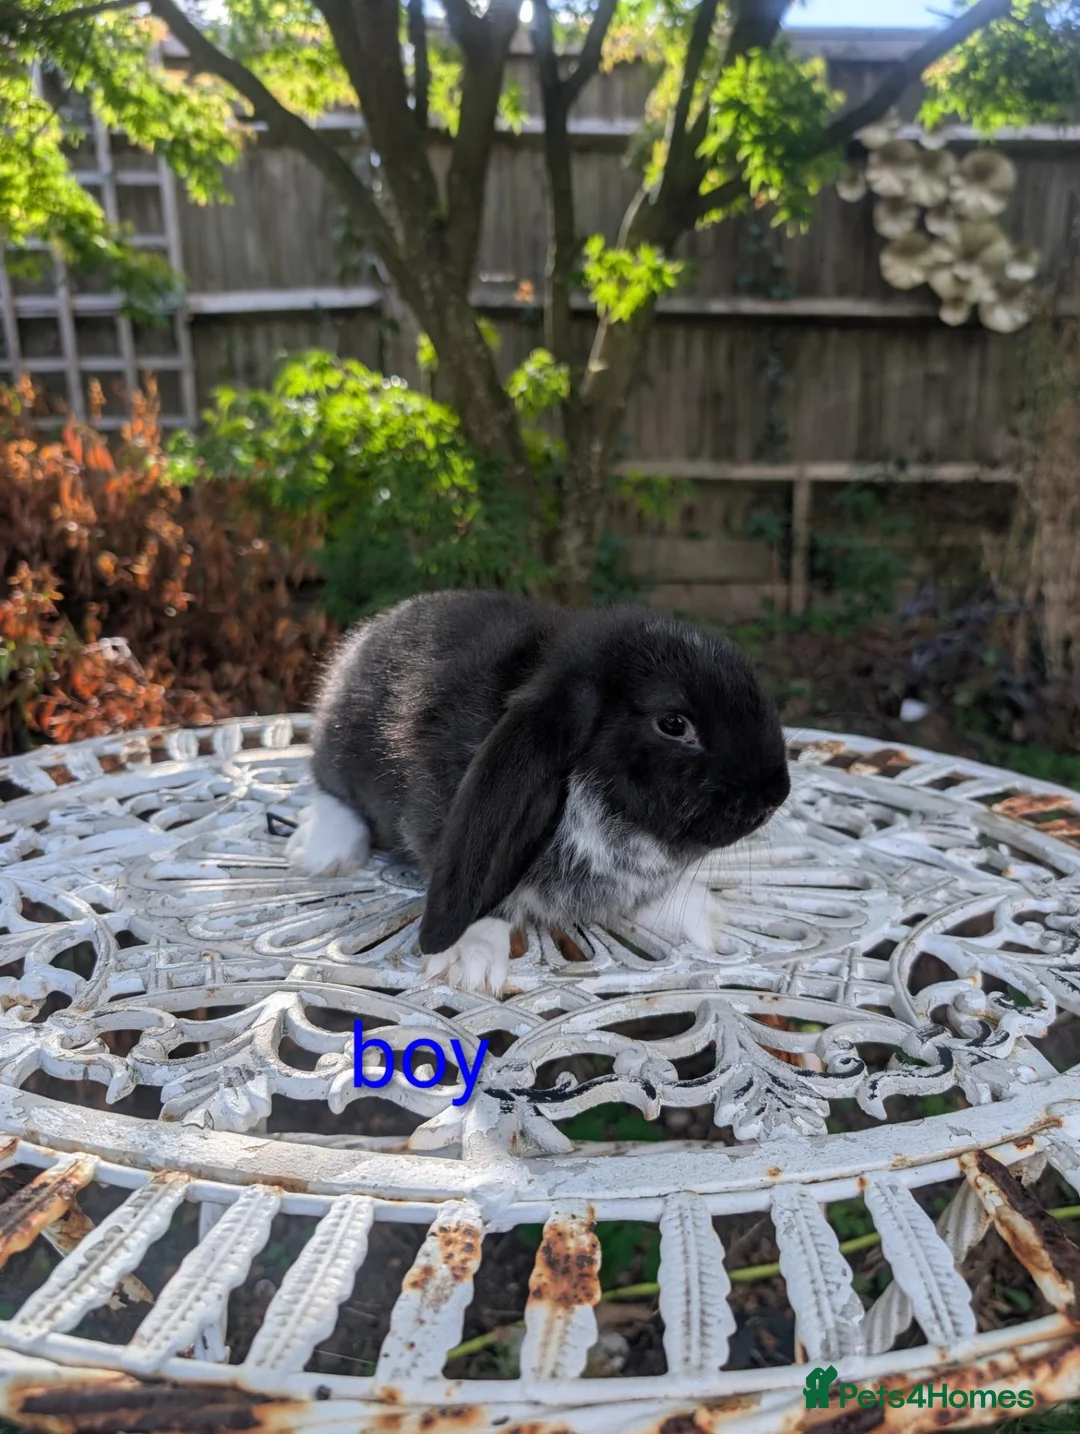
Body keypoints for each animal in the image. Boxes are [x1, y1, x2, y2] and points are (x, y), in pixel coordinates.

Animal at [287, 588, 790, 994]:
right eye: (673, 723)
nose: (775, 793)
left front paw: (706, 918)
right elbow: (479, 889)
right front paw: (468, 957)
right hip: (337, 748)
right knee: (329, 788)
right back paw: (325, 848)